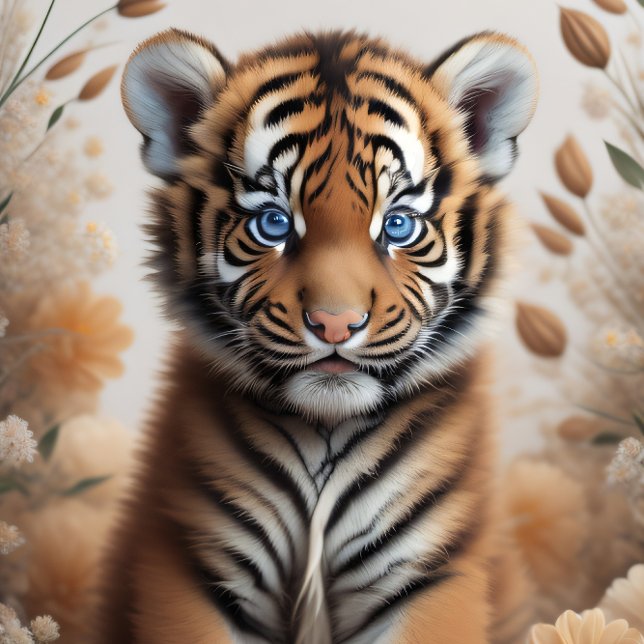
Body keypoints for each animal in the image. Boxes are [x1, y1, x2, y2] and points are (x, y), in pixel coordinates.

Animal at [95, 28, 538, 644]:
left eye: (397, 225)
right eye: (274, 223)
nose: (335, 323)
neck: (324, 431)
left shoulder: (430, 571)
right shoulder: (192, 559)